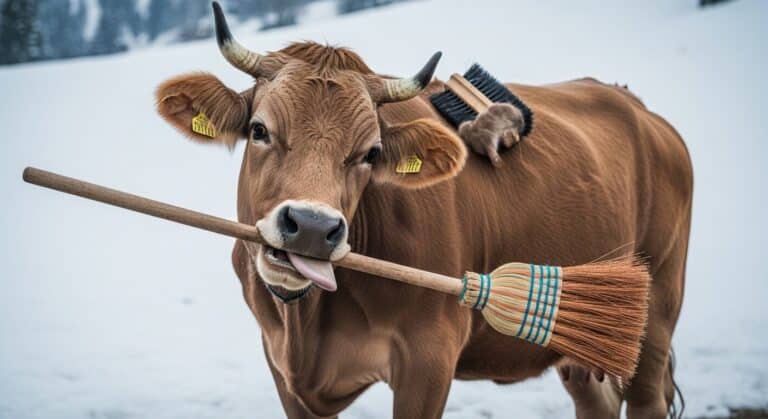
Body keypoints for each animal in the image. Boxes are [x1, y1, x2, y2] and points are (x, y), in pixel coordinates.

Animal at [154, 4, 692, 418]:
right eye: (260, 130)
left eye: (370, 153)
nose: (310, 227)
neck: (307, 324)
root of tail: (639, 109)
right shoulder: (281, 366)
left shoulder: (429, 358)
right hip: (581, 343)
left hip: (656, 307)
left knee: (647, 397)